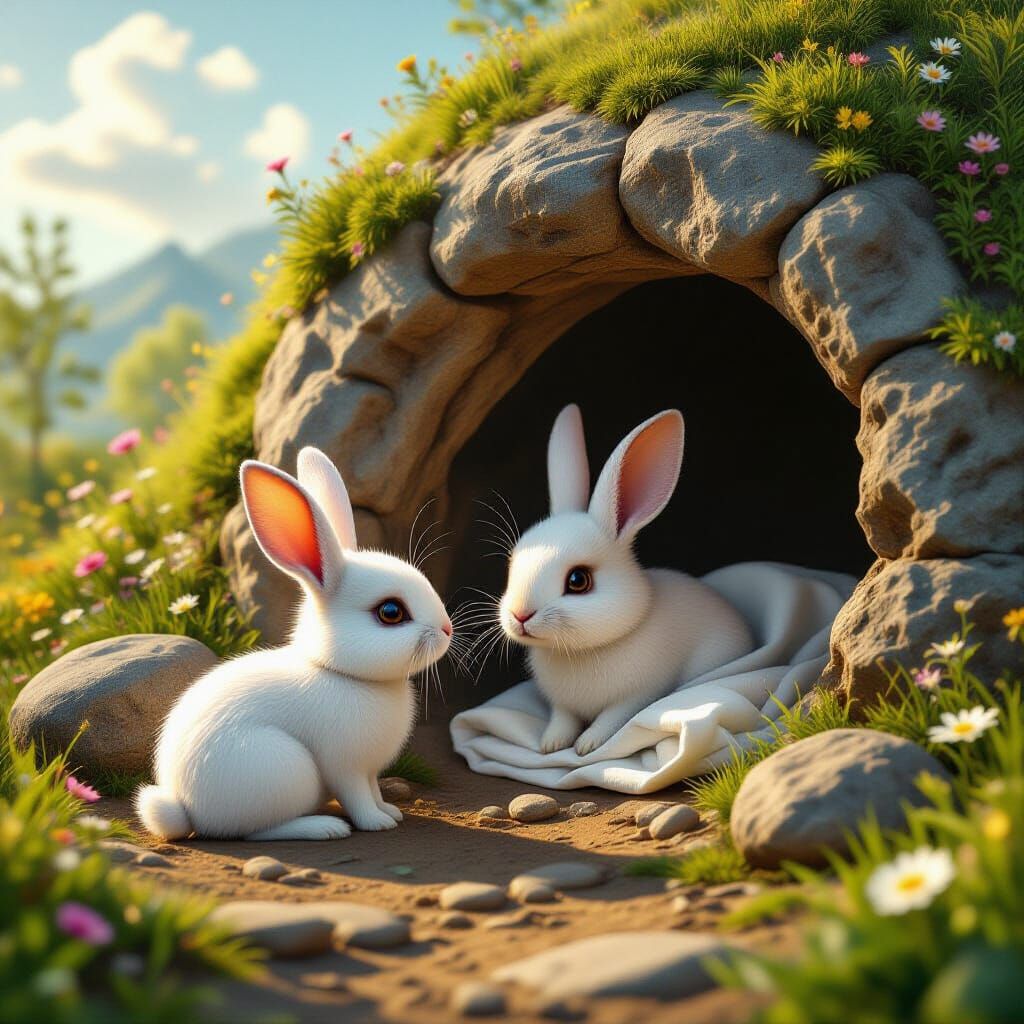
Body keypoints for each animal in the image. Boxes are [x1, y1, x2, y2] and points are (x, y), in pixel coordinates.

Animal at [135, 446, 453, 841]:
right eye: (391, 612)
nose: (447, 629)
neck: (342, 674)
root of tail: (187, 809)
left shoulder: (368, 770)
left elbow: (375, 790)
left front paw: (390, 812)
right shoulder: (344, 766)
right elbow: (357, 797)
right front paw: (376, 823)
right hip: (285, 770)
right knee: (257, 831)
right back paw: (324, 827)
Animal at [498, 404, 754, 757]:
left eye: (578, 580)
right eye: (513, 564)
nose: (520, 615)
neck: (579, 652)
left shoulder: (638, 694)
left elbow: (611, 719)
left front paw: (586, 746)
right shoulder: (562, 706)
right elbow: (562, 719)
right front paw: (550, 744)